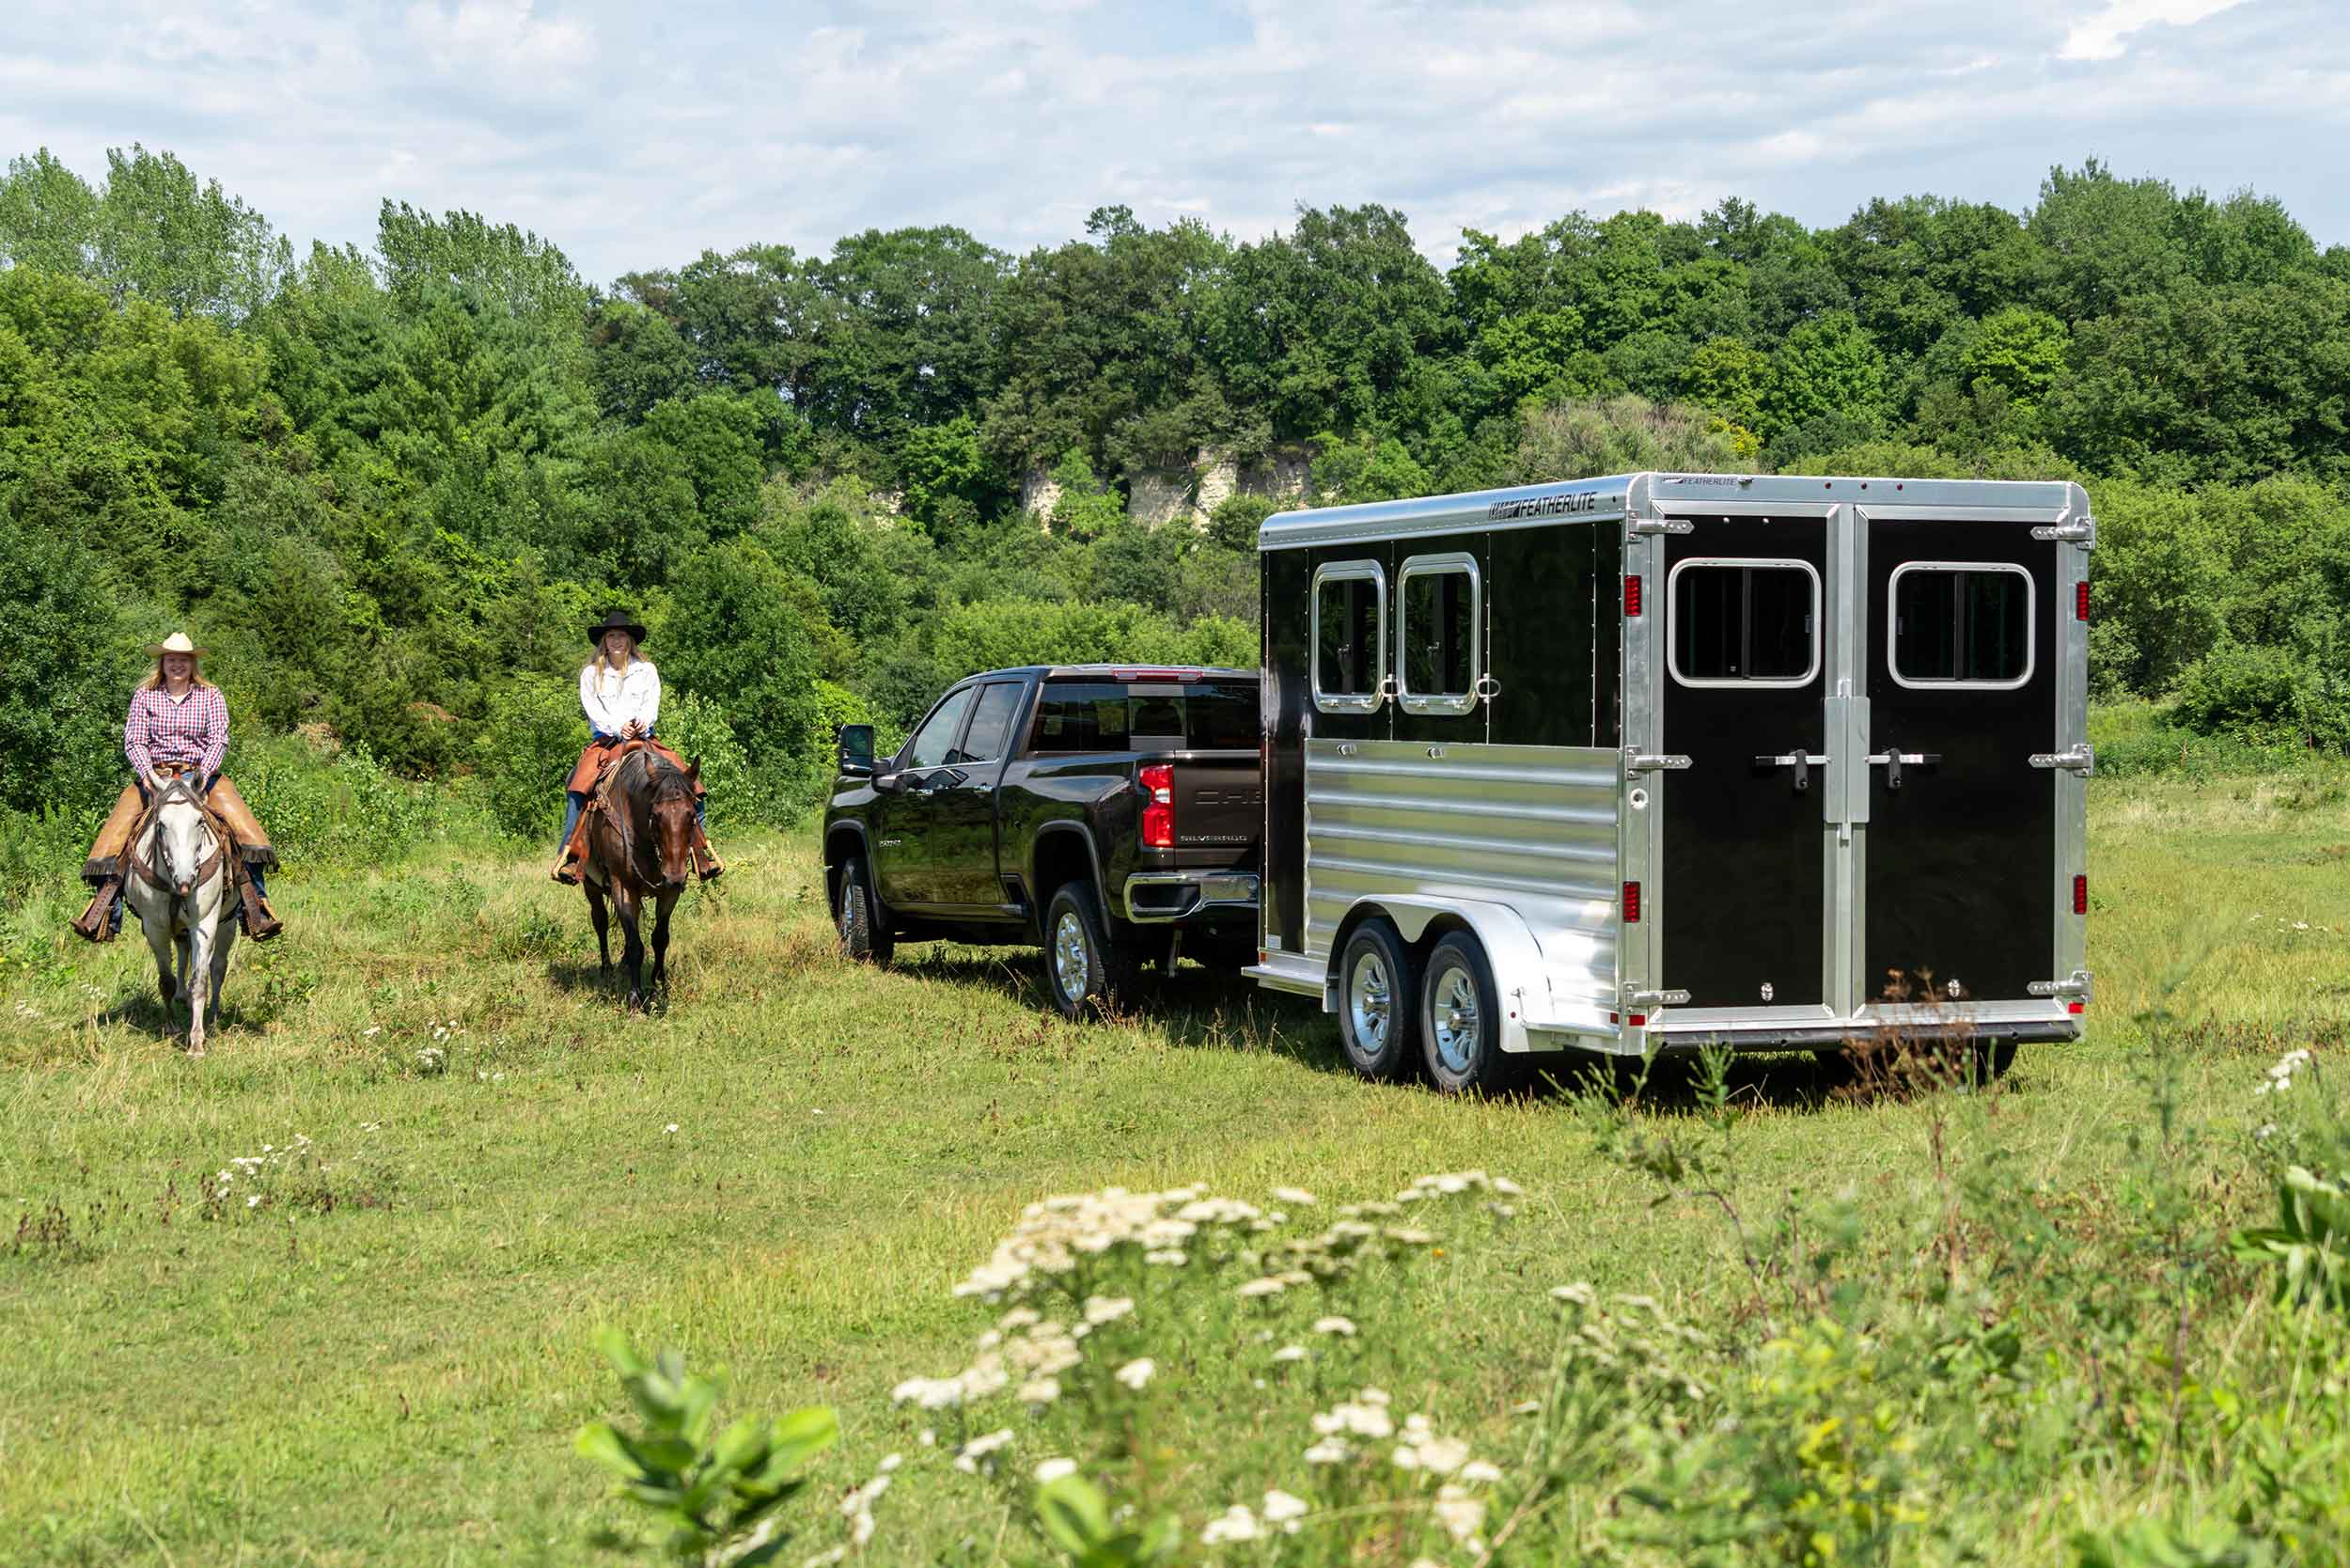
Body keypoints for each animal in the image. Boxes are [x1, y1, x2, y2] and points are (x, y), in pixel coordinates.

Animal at [122, 780, 240, 1062]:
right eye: (161, 824)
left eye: (199, 821)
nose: (186, 881)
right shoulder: (154, 928)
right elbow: (166, 981)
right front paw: (172, 1025)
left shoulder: (204, 923)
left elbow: (200, 981)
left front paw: (196, 1042)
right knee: (183, 951)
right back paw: (181, 997)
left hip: (227, 923)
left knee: (217, 968)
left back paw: (213, 1016)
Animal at [585, 747, 700, 1011]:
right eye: (656, 816)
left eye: (691, 815)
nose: (675, 877)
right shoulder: (623, 886)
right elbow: (635, 944)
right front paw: (635, 996)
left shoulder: (669, 892)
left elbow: (660, 938)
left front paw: (659, 984)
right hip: (591, 886)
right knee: (601, 921)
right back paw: (607, 969)